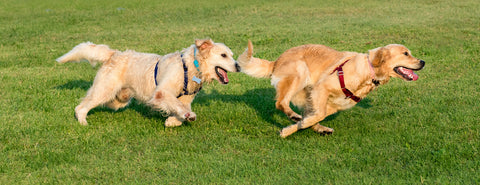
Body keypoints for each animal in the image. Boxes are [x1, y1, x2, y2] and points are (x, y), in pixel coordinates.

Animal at [56, 38, 240, 125]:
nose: (238, 66)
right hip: (105, 89)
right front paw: (185, 116)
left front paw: (174, 121)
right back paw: (83, 122)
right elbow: (175, 103)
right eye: (223, 55)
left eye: (231, 55)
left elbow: (180, 106)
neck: (192, 66)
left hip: (119, 99)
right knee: (81, 107)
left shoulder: (186, 98)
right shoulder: (161, 93)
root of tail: (114, 53)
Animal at [236, 41, 424, 138]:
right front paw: (295, 126)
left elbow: (315, 117)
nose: (423, 62)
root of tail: (277, 61)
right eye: (406, 53)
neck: (369, 71)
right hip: (300, 72)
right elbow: (315, 116)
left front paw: (291, 129)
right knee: (281, 102)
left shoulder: (333, 104)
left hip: (306, 93)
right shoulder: (322, 88)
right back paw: (294, 116)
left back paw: (318, 127)